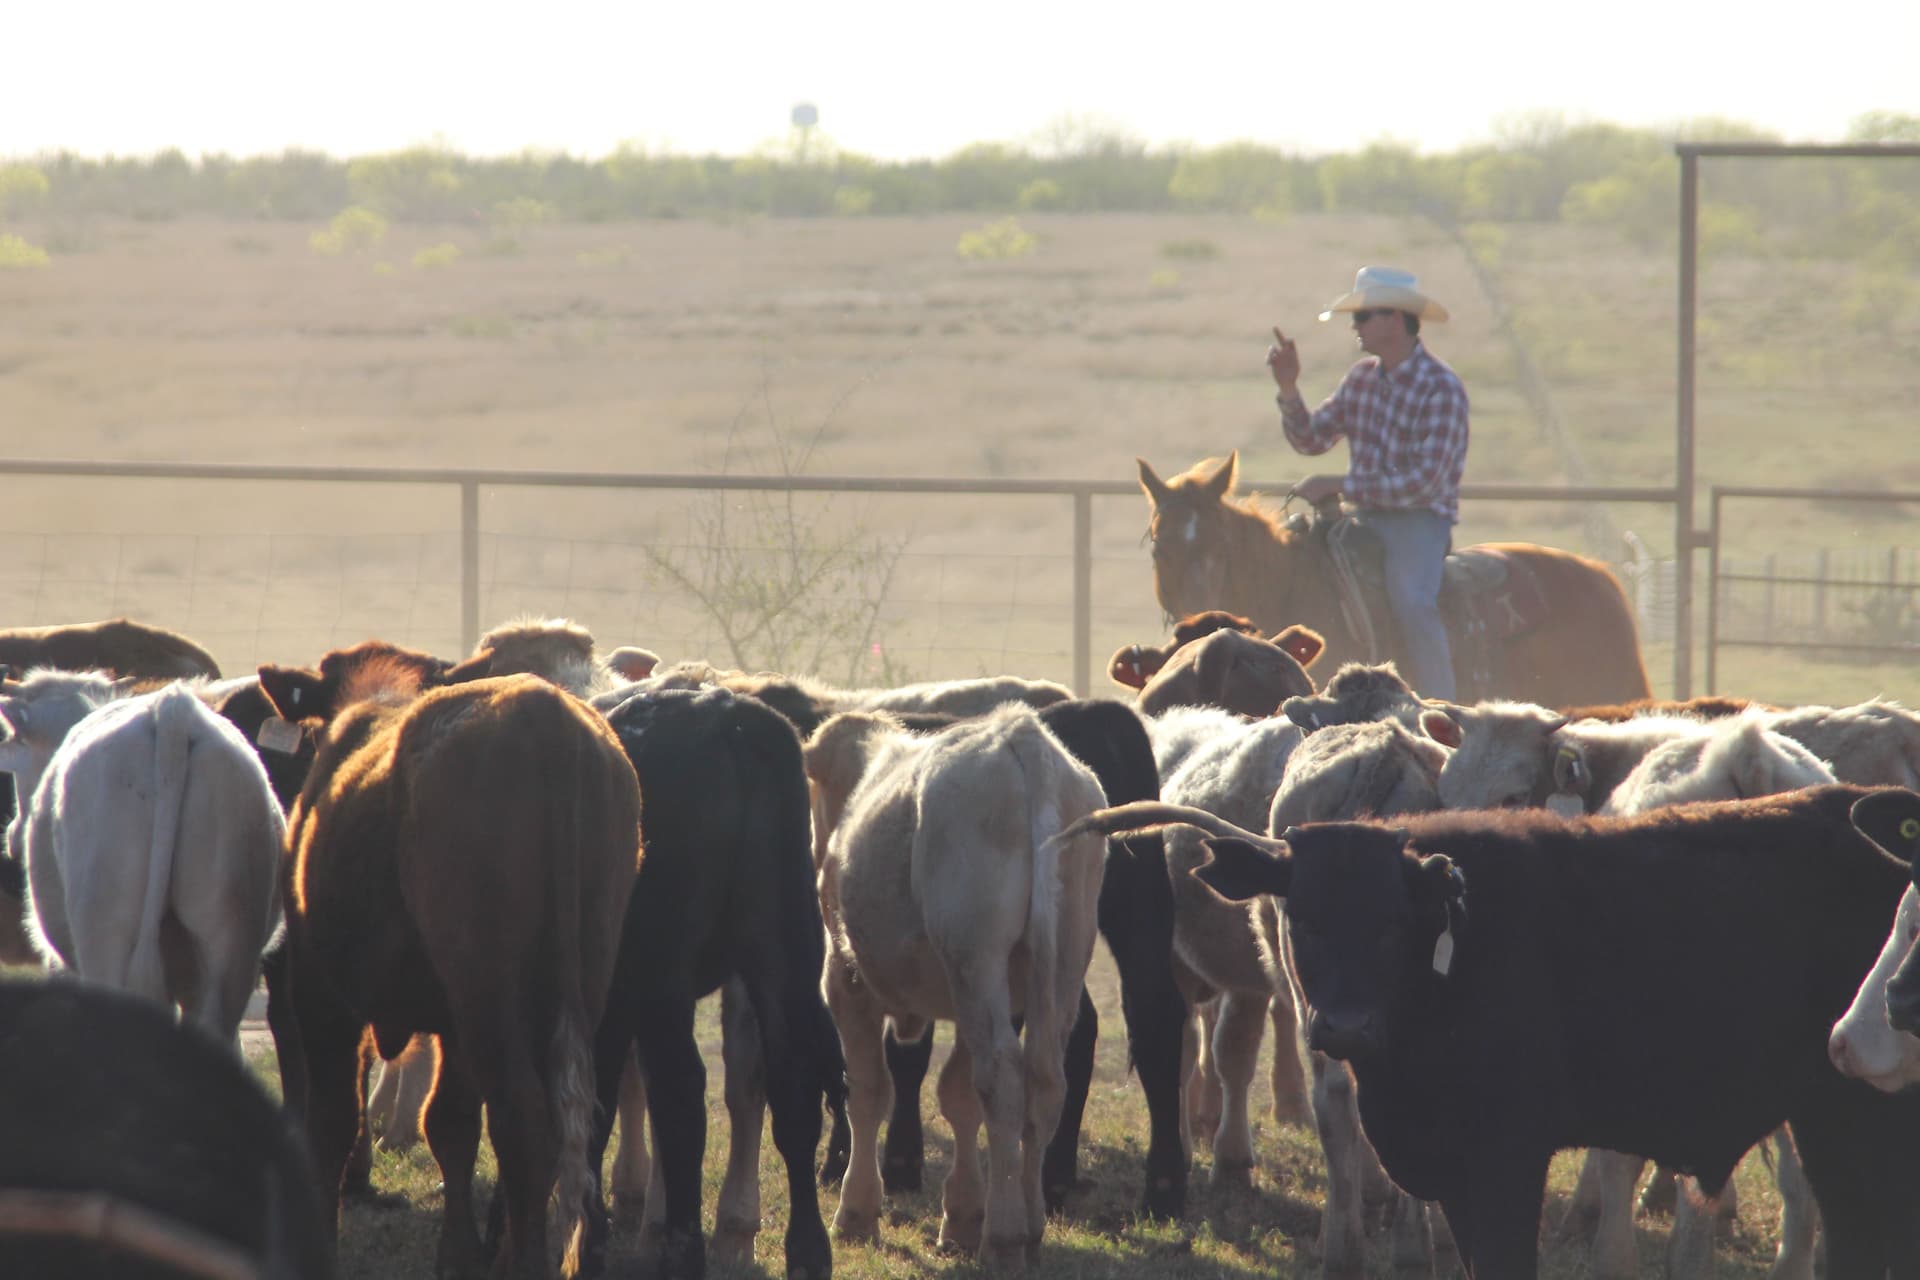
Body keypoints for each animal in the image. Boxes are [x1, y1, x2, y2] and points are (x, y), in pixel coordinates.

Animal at [260, 656, 642, 1279]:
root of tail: (546, 718)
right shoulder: (451, 1029)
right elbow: (450, 1123)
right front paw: (457, 1256)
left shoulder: (321, 992)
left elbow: (333, 1119)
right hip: (568, 983)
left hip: (483, 992)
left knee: (522, 1120)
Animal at [806, 704, 1107, 1268]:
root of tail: (1022, 739)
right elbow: (959, 1096)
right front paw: (963, 1217)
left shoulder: (845, 978)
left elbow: (869, 1090)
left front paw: (856, 1211)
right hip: (1051, 964)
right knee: (1041, 1083)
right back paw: (1029, 1227)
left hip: (974, 959)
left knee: (1004, 1078)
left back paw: (1005, 1238)